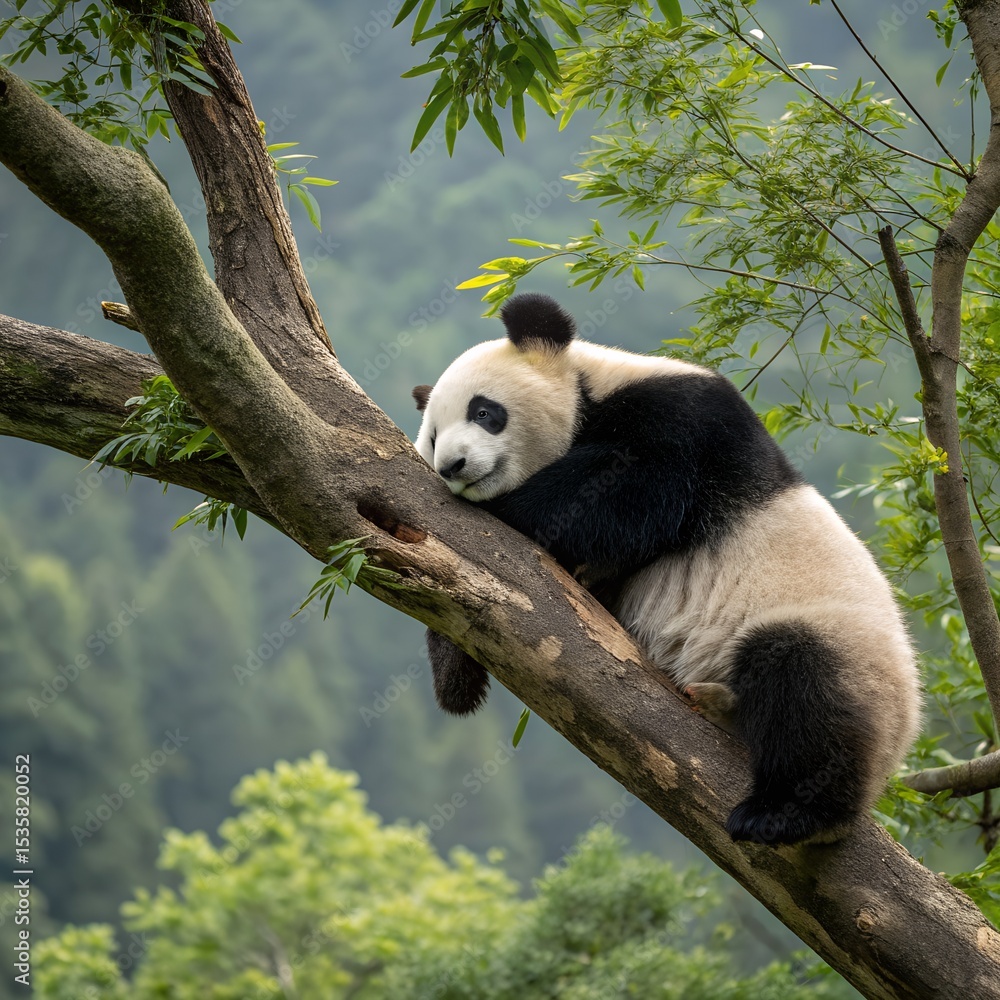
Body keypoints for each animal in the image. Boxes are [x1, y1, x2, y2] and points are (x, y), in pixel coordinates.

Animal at [412, 292, 920, 845]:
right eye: (433, 436)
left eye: (484, 412)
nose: (452, 467)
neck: (590, 394)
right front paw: (455, 675)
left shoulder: (687, 418)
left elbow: (634, 490)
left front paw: (512, 506)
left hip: (841, 639)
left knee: (803, 687)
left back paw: (784, 813)